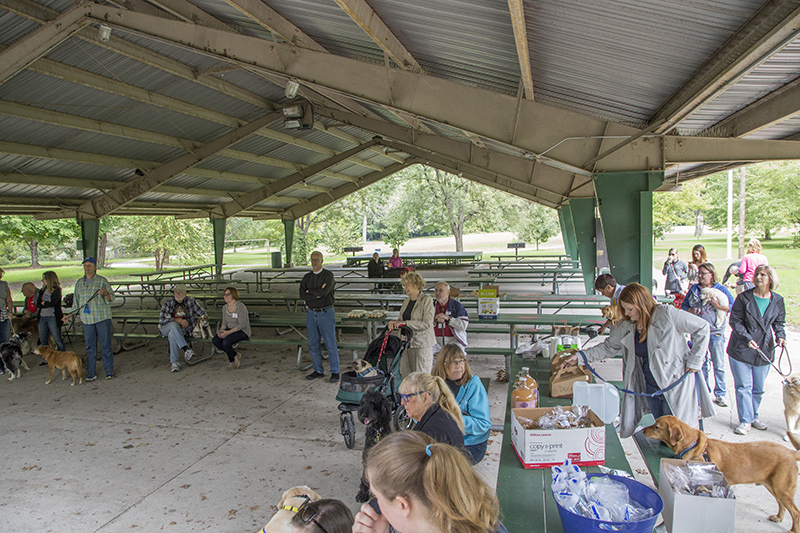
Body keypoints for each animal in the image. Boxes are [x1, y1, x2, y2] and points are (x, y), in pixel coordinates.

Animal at [644, 416, 800, 532]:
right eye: (655, 423)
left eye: (657, 427)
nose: (643, 430)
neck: (694, 445)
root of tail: (791, 452)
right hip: (774, 486)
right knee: (782, 504)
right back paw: (778, 517)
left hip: (782, 488)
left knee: (796, 512)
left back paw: (793, 530)